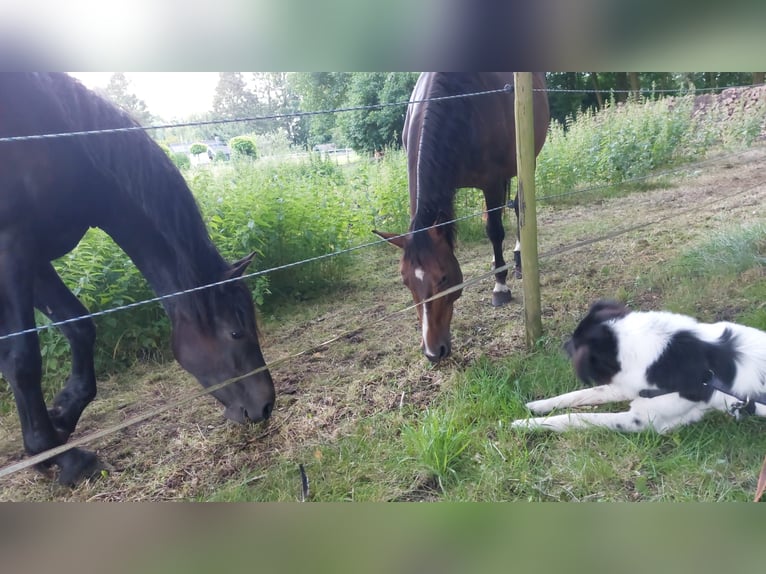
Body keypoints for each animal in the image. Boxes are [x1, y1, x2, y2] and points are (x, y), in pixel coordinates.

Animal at [0, 72, 276, 486]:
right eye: (236, 332)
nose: (266, 405)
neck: (58, 139)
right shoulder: (11, 245)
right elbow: (22, 358)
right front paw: (61, 456)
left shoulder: (33, 255)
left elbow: (79, 326)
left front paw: (61, 417)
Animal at [376, 74, 548, 364]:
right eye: (405, 281)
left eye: (444, 278)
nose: (433, 352)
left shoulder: (491, 182)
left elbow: (494, 230)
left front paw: (500, 287)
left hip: (526, 159)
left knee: (516, 207)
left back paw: (518, 259)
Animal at [512, 304, 766, 434]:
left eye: (574, 344)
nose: (562, 346)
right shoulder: (633, 384)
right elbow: (580, 394)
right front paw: (537, 406)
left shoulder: (644, 420)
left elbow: (578, 417)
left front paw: (525, 425)